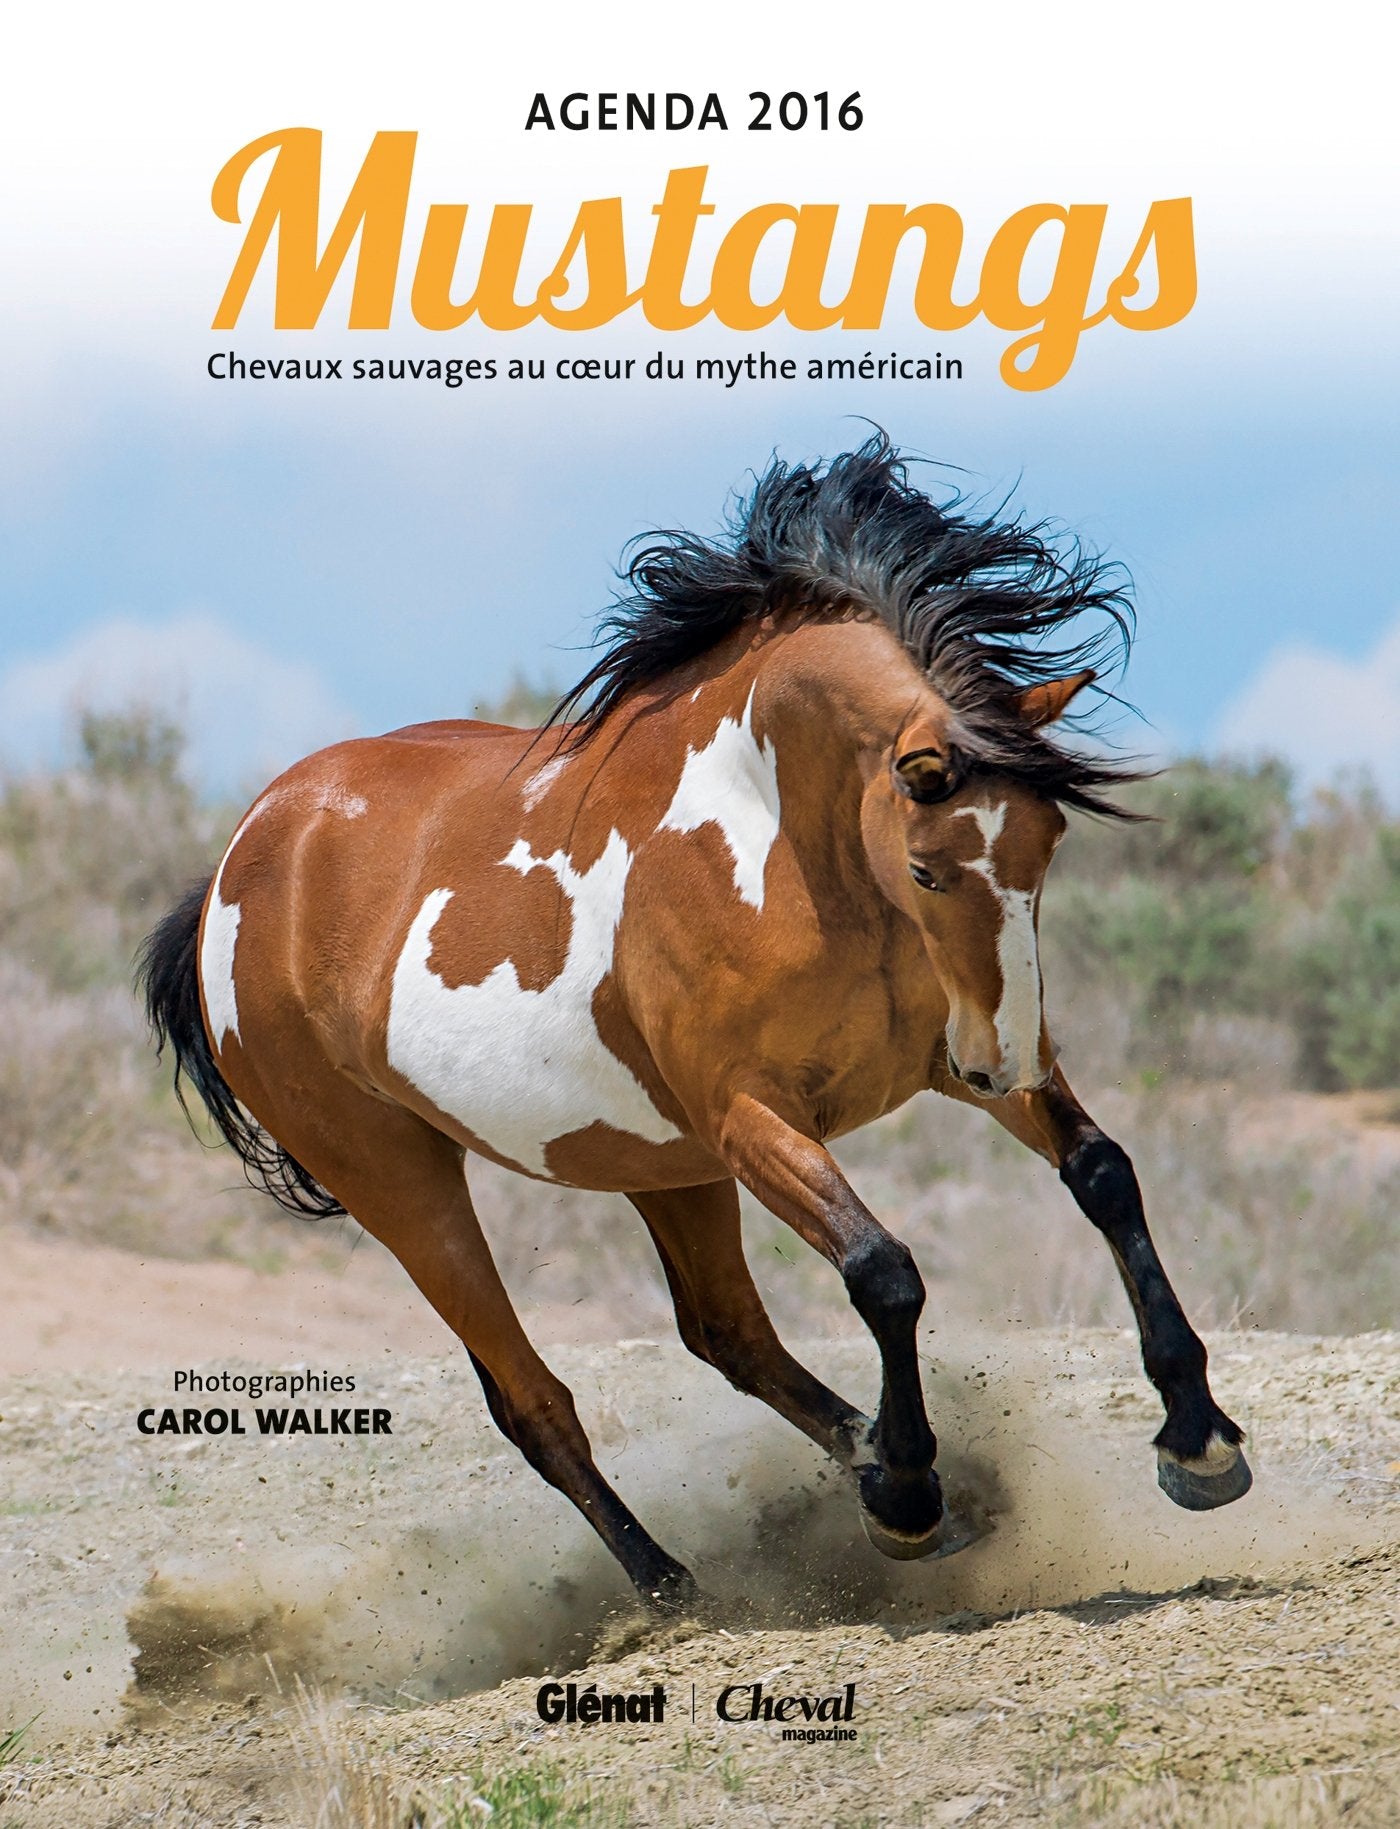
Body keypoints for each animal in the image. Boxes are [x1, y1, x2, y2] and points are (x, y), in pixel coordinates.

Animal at [139, 436, 1250, 1612]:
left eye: (1048, 846)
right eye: (926, 869)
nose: (1003, 1063)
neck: (781, 846)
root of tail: (236, 868)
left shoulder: (938, 1058)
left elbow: (1104, 1176)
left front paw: (1198, 1441)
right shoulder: (752, 1116)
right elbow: (883, 1272)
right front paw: (909, 1493)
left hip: (654, 1158)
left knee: (725, 1330)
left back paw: (868, 1474)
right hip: (400, 1177)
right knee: (532, 1399)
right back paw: (680, 1585)